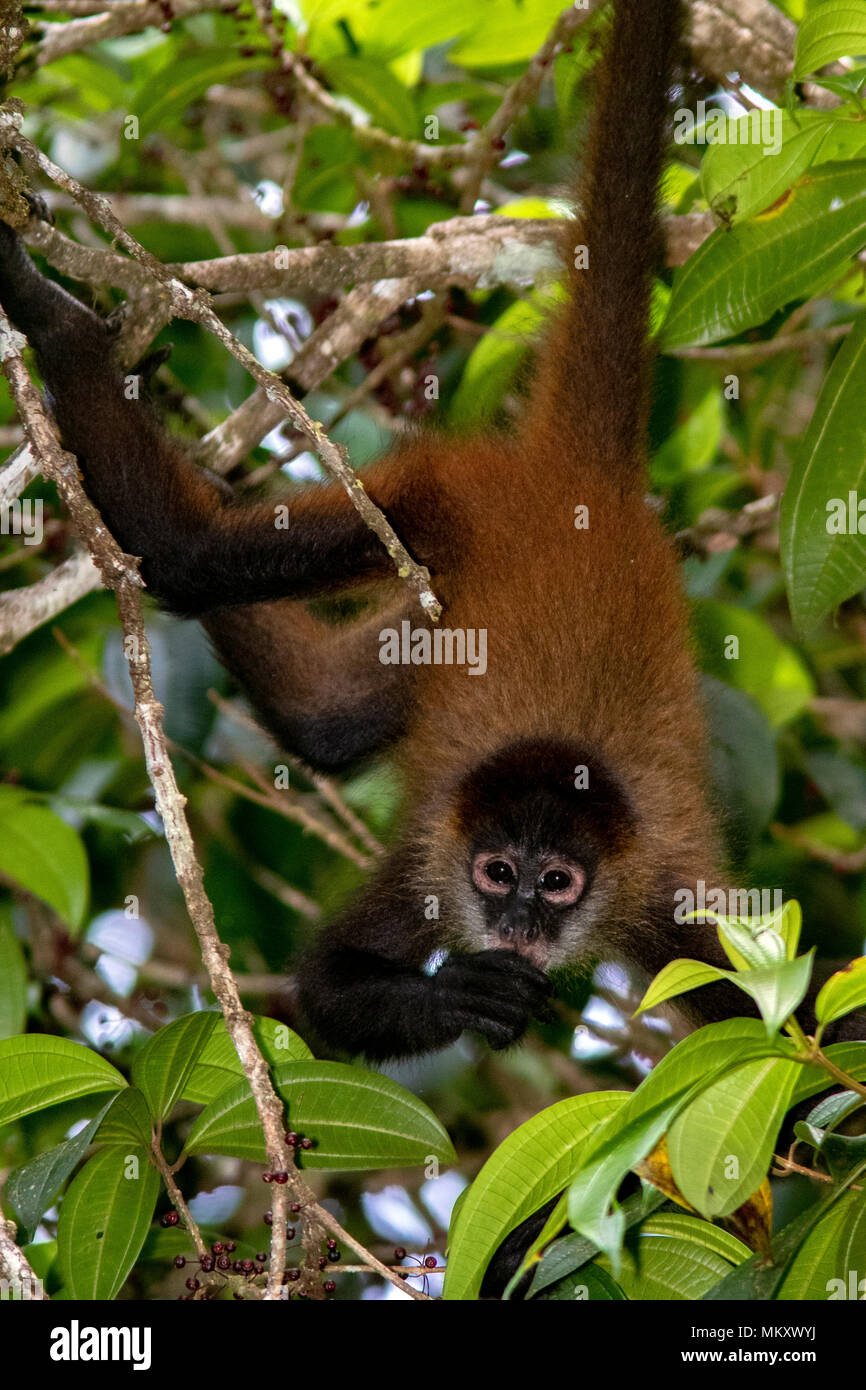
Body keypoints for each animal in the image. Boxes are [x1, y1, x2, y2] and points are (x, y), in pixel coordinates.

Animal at [0, 0, 861, 1056]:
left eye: (556, 884)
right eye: (498, 874)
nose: (517, 923)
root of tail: (586, 482)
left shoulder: (663, 891)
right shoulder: (438, 855)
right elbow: (325, 988)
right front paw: (464, 996)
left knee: (320, 713)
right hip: (444, 498)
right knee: (197, 564)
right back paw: (54, 316)